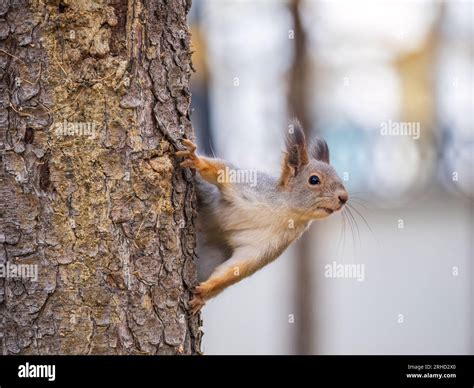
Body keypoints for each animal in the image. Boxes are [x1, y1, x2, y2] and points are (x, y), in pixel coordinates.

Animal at [177, 119, 348, 314]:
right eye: (314, 180)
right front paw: (196, 160)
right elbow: (223, 171)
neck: (285, 212)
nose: (344, 198)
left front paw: (204, 292)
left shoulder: (268, 245)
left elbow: (238, 268)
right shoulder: (250, 186)